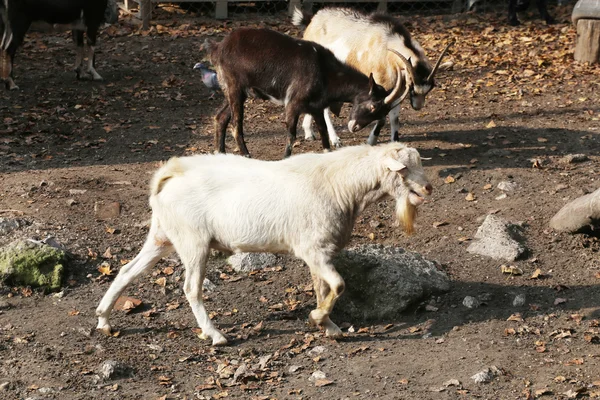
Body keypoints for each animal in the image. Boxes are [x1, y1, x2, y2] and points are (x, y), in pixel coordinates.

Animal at [95, 142, 432, 346]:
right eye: (403, 168)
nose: (428, 187)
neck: (339, 185)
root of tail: (170, 174)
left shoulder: (318, 251)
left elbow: (322, 287)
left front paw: (328, 327)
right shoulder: (313, 249)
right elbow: (338, 285)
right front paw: (318, 318)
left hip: (163, 234)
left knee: (127, 271)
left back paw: (103, 320)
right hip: (193, 241)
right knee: (190, 288)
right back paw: (215, 334)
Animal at [209, 27, 410, 158]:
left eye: (382, 112)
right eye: (373, 105)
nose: (354, 127)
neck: (324, 70)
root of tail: (218, 47)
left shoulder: (316, 107)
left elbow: (323, 134)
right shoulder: (293, 104)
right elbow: (291, 135)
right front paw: (286, 158)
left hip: (237, 92)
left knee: (220, 117)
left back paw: (221, 153)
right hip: (235, 88)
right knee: (236, 124)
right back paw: (246, 155)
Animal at [292, 7, 452, 147]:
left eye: (430, 88)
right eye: (412, 84)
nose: (418, 106)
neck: (388, 47)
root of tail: (313, 19)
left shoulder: (397, 89)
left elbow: (394, 118)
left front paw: (395, 142)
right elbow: (381, 118)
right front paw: (370, 142)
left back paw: (308, 133)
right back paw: (335, 139)